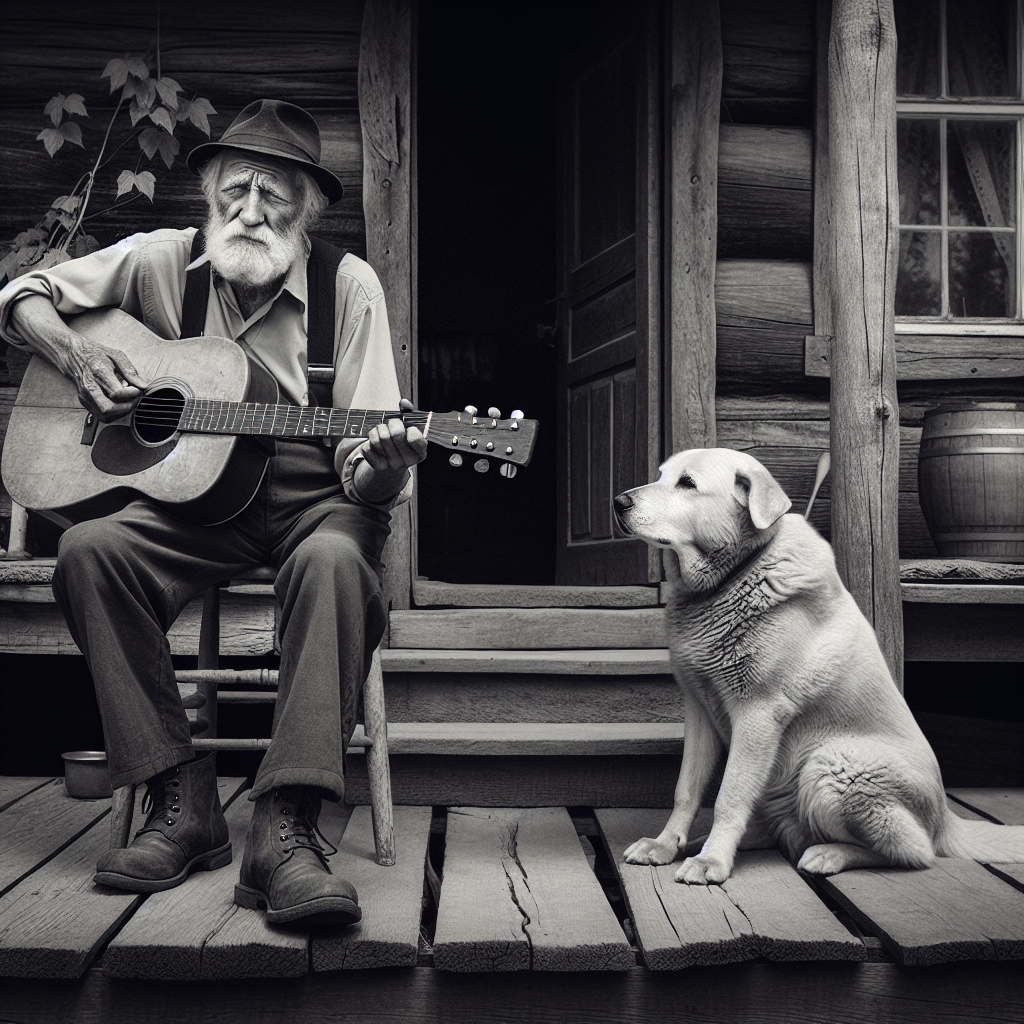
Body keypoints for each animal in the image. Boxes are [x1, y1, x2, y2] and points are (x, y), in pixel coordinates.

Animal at [610, 452, 1019, 884]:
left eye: (687, 483)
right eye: (660, 476)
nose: (618, 502)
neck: (736, 576)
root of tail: (945, 819)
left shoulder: (758, 714)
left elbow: (728, 797)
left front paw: (712, 862)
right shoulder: (699, 710)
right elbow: (685, 790)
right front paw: (665, 844)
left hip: (831, 763)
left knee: (915, 852)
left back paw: (829, 854)